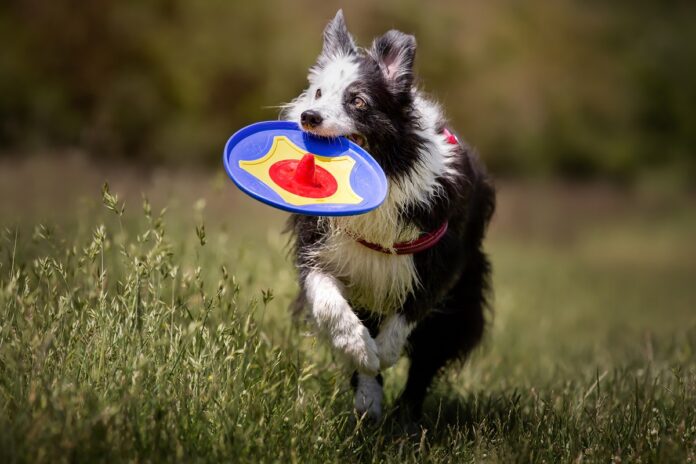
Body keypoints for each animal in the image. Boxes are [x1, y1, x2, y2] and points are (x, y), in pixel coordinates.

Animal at [280, 10, 492, 420]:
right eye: (318, 93)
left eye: (357, 101)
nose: (309, 117)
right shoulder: (319, 249)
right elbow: (329, 303)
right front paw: (362, 352)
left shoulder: (441, 260)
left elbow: (410, 313)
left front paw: (385, 352)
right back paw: (369, 403)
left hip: (463, 296)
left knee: (429, 357)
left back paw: (407, 416)